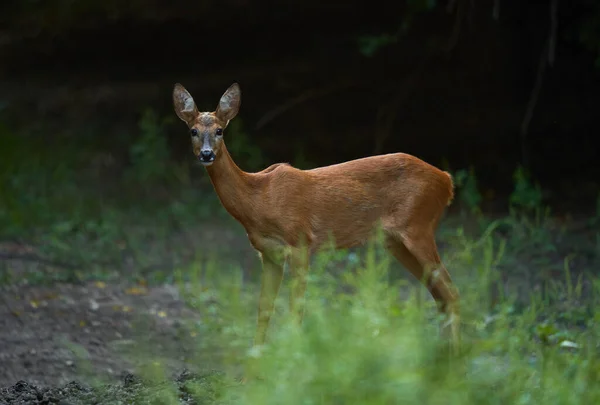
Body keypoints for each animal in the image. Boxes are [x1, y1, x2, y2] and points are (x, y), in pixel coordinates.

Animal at [171, 82, 462, 354]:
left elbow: (295, 309)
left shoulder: (300, 241)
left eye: (219, 130)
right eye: (193, 131)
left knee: (451, 291)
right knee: (439, 294)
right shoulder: (269, 253)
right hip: (395, 241)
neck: (259, 199)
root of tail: (446, 181)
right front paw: (255, 366)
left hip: (418, 226)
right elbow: (264, 309)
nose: (206, 154)